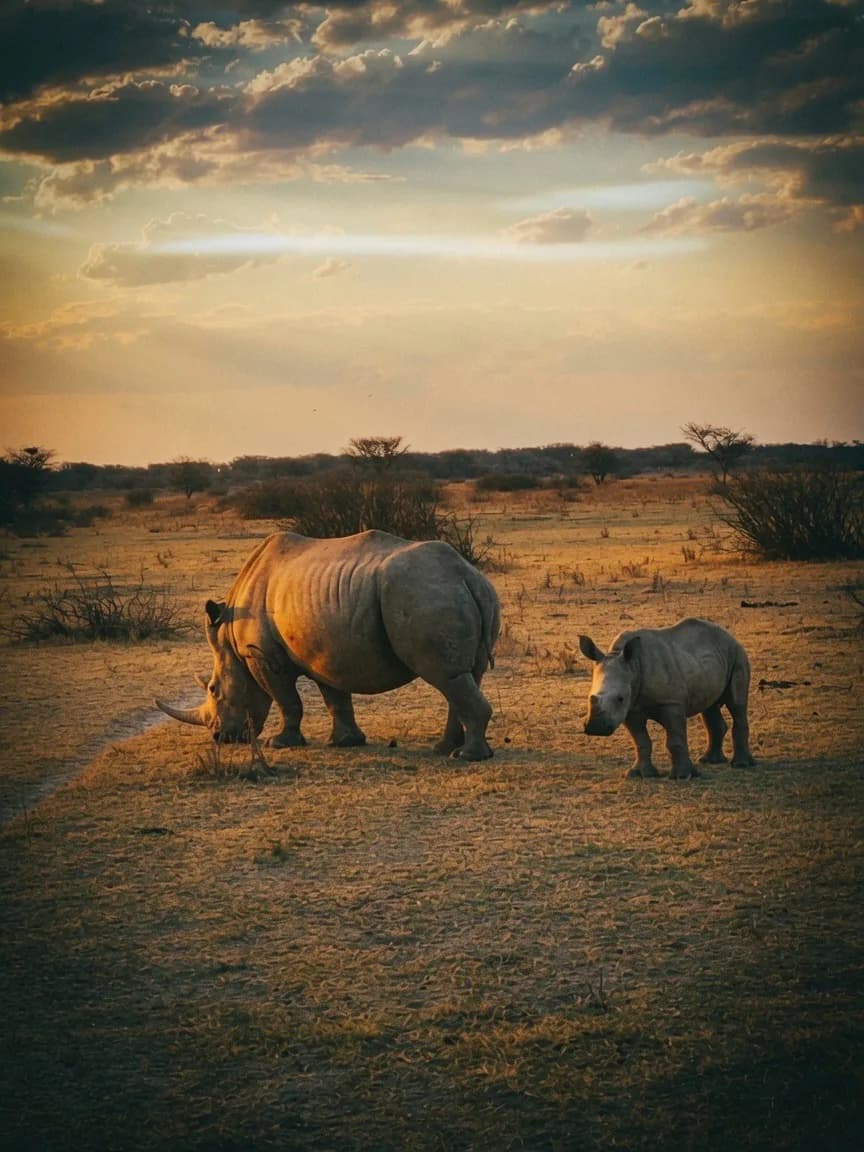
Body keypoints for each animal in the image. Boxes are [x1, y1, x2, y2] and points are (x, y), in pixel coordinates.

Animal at [156, 529, 500, 760]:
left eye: (214, 689)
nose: (221, 737)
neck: (228, 634)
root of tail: (465, 574)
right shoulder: (325, 653)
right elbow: (336, 697)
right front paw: (345, 742)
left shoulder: (262, 656)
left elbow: (287, 700)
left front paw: (279, 744)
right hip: (459, 591)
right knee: (464, 676)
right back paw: (444, 749)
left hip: (420, 593)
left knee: (446, 676)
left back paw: (467, 757)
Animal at [578, 617, 755, 779]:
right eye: (589, 697)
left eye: (620, 698)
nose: (595, 727)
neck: (633, 666)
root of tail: (730, 636)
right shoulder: (631, 708)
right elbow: (641, 741)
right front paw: (640, 774)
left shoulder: (671, 702)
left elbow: (675, 739)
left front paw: (682, 776)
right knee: (709, 707)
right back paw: (709, 761)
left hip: (737, 654)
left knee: (737, 705)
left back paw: (740, 765)